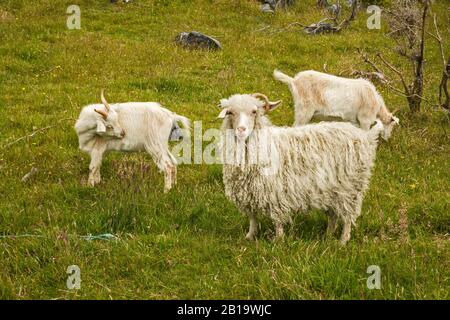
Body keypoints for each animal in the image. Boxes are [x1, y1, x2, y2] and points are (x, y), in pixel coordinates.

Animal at [220, 94, 382, 244]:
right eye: (230, 112)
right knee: (334, 215)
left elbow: (277, 219)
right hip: (334, 190)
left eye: (254, 112)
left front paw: (278, 240)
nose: (241, 130)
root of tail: (365, 136)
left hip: (351, 189)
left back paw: (342, 241)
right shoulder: (249, 191)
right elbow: (252, 217)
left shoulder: (275, 192)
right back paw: (328, 236)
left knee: (347, 216)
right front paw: (250, 236)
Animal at [272, 69, 400, 140]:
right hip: (304, 110)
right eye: (392, 125)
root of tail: (294, 80)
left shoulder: (355, 122)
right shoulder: (365, 120)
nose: (387, 138)